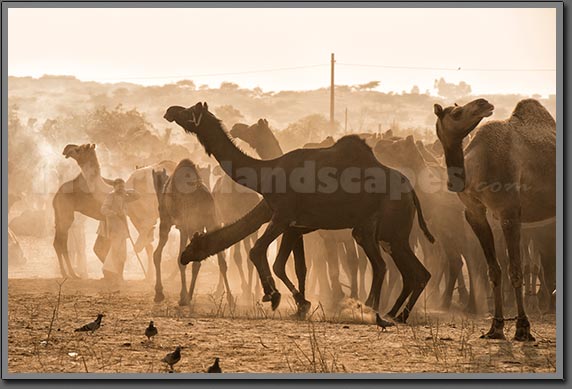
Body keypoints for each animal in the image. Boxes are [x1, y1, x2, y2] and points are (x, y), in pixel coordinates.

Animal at [152, 158, 235, 306]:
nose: (158, 199)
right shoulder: (194, 227)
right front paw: (181, 295)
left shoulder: (172, 224)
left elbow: (161, 256)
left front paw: (162, 294)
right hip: (211, 223)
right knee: (221, 261)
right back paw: (230, 299)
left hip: (191, 226)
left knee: (195, 260)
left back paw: (187, 297)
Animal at [165, 102, 434, 322]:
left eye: (189, 112)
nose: (170, 111)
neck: (266, 174)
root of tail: (412, 192)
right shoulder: (291, 223)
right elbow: (294, 266)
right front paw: (300, 305)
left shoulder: (282, 217)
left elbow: (260, 253)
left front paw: (274, 296)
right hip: (390, 234)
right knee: (415, 272)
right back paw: (393, 314)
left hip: (381, 229)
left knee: (385, 267)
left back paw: (368, 310)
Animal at [434, 98, 556, 340]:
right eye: (456, 113)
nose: (484, 103)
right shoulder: (475, 214)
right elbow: (494, 269)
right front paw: (496, 327)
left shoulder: (509, 212)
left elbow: (515, 269)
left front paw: (523, 328)